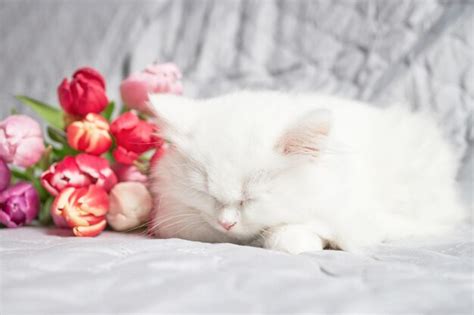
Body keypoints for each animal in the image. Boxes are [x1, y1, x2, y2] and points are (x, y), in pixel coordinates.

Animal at [149, 91, 466, 254]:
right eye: (206, 194)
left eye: (249, 199)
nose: (227, 223)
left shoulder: (354, 215)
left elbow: (295, 235)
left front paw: (295, 238)